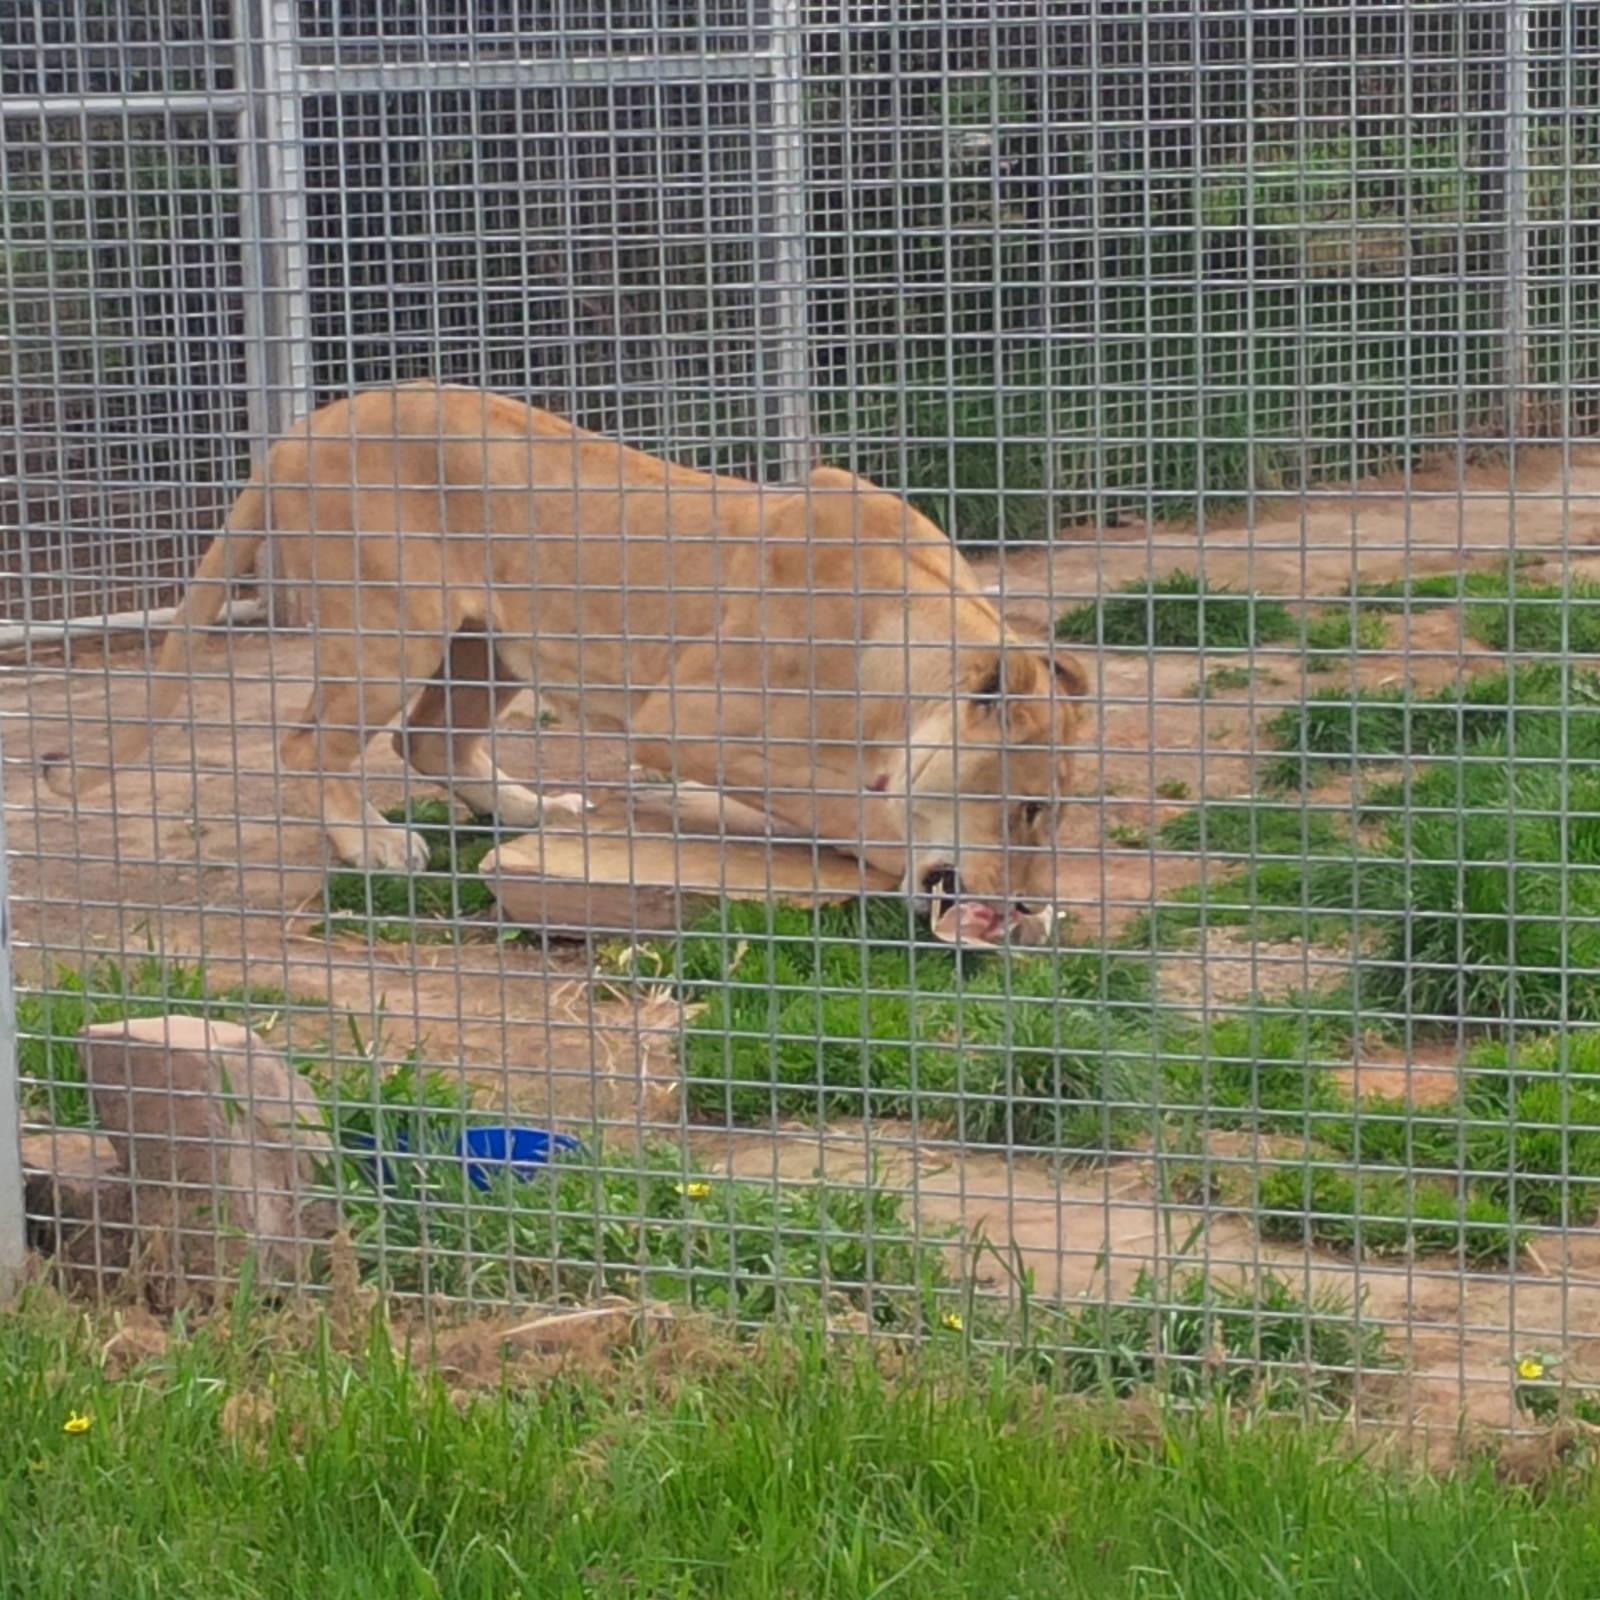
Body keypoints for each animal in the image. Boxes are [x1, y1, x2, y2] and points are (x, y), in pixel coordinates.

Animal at [43, 381, 1090, 937]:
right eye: (1028, 809)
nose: (1022, 906)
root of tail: (299, 430)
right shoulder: (684, 719)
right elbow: (845, 803)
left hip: (488, 646)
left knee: (430, 742)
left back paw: (540, 809)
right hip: (392, 629)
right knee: (312, 743)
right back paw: (373, 844)